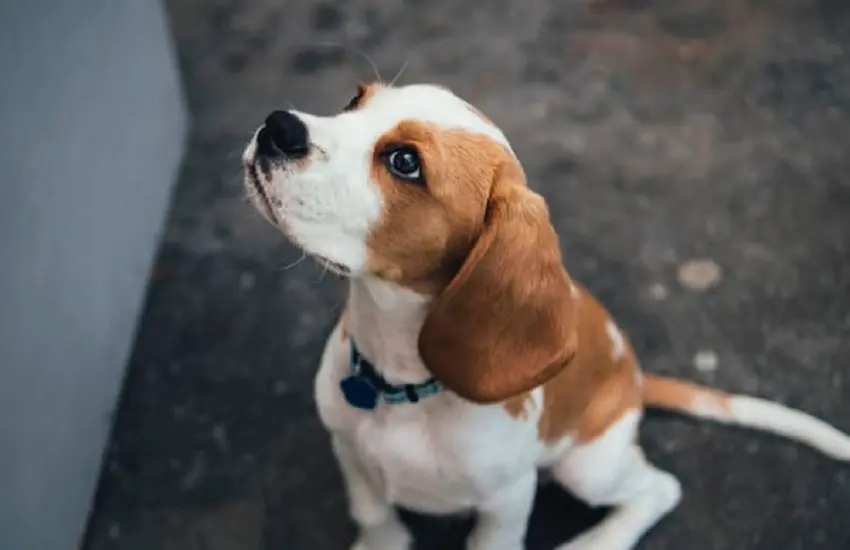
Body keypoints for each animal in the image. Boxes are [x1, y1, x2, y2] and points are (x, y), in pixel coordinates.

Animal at [240, 82, 848, 550]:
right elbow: (373, 514)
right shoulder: (348, 448)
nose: (277, 126)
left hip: (588, 468)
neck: (400, 383)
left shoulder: (508, 500)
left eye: (404, 162)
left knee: (659, 489)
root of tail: (635, 379)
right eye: (355, 99)